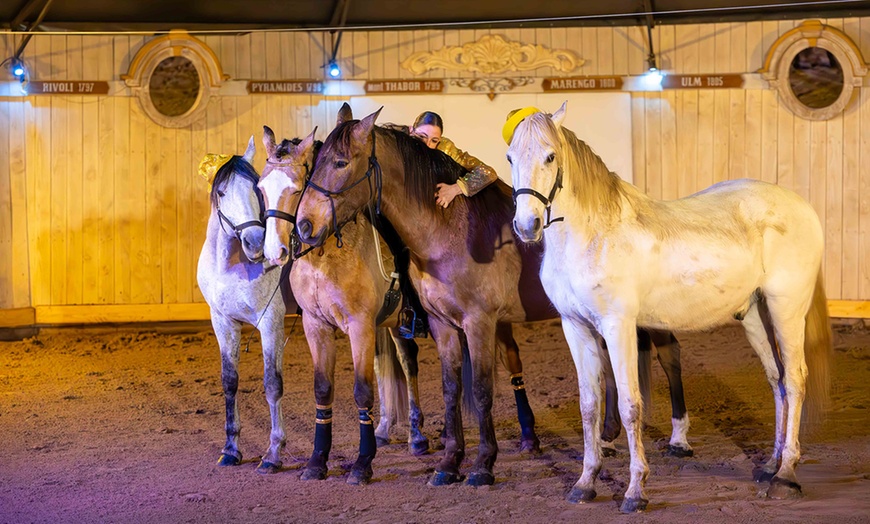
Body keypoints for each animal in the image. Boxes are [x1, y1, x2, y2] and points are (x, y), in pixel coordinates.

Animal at [195, 137, 290, 474]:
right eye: (222, 192)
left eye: (256, 189)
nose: (255, 242)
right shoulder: (223, 323)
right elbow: (230, 381)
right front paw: (231, 449)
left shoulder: (271, 323)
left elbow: (272, 384)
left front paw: (273, 453)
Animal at [256, 121, 542, 485]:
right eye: (261, 187)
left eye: (296, 187)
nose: (277, 247)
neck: (326, 255)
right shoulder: (315, 324)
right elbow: (324, 389)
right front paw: (317, 461)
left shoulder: (361, 325)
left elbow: (363, 389)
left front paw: (363, 463)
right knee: (411, 364)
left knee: (508, 362)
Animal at [291, 104, 690, 487]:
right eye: (317, 159)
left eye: (341, 162)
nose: (304, 226)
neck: (447, 229)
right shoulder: (442, 325)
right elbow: (451, 389)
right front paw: (449, 463)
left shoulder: (479, 322)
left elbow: (482, 390)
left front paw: (483, 464)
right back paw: (606, 438)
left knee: (670, 357)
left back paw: (678, 438)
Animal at [507, 102, 832, 512]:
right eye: (510, 157)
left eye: (550, 156)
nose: (527, 224)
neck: (593, 235)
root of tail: (803, 207)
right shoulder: (575, 328)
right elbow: (589, 406)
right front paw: (585, 483)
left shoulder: (618, 326)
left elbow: (630, 405)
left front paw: (635, 491)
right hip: (755, 315)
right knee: (777, 380)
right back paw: (770, 465)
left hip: (786, 310)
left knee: (796, 379)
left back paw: (786, 475)